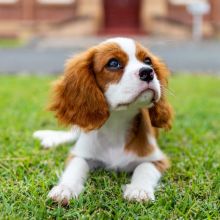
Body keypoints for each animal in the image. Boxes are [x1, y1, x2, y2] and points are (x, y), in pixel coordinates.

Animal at [33, 37, 173, 205]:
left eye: (148, 61)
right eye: (113, 63)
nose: (147, 72)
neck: (118, 122)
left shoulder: (157, 159)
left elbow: (144, 168)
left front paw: (139, 190)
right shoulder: (80, 154)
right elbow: (76, 166)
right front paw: (65, 188)